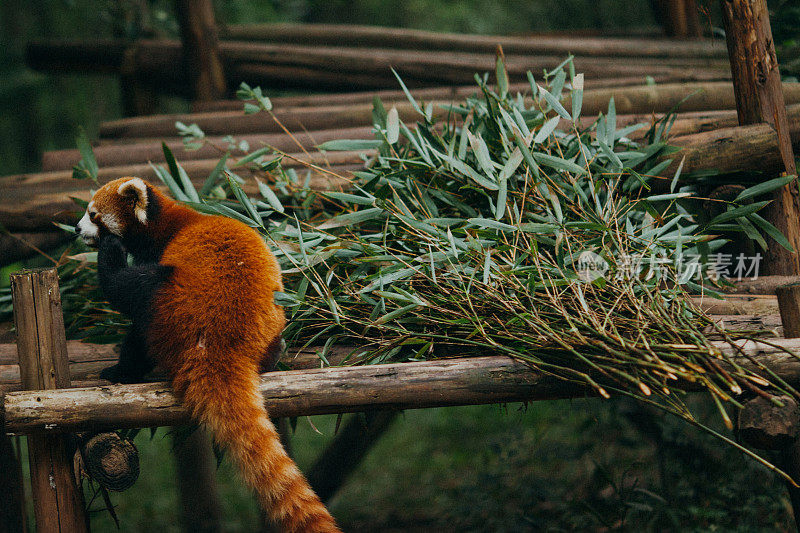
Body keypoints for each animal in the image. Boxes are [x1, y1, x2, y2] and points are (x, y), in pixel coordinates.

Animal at [74, 178, 338, 532]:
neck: (165, 221)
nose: (77, 228)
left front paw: (111, 247)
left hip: (173, 304)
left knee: (138, 300)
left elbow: (121, 288)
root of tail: (218, 344)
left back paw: (123, 371)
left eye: (93, 214)